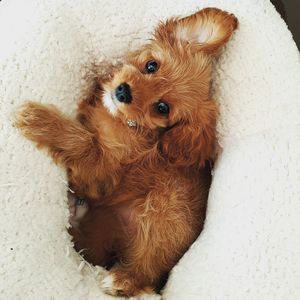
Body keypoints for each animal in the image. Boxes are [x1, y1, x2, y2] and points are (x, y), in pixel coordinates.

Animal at [15, 8, 237, 296]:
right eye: (151, 66)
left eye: (162, 108)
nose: (122, 91)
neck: (124, 123)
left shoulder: (101, 174)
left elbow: (81, 141)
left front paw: (39, 118)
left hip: (163, 212)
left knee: (145, 271)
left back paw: (121, 280)